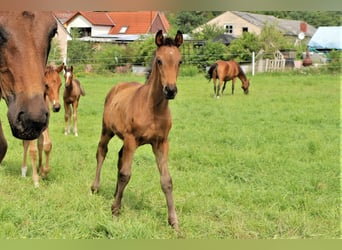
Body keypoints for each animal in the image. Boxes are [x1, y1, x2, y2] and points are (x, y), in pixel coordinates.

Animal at [89, 29, 183, 230]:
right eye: (159, 60)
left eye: (180, 61)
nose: (170, 90)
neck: (153, 108)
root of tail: (118, 86)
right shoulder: (132, 139)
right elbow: (126, 174)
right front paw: (115, 211)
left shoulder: (161, 143)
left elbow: (167, 181)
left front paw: (174, 222)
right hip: (107, 130)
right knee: (102, 152)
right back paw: (95, 188)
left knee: (119, 157)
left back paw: (115, 193)